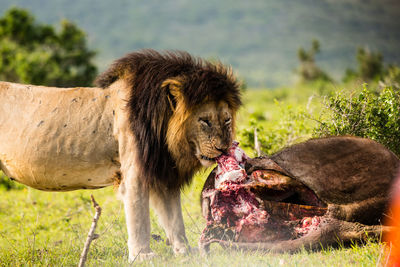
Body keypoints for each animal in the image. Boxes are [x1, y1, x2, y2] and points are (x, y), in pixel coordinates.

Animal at [0, 50, 241, 262]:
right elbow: (139, 217)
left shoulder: (163, 173)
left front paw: (185, 252)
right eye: (205, 121)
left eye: (227, 119)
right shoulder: (135, 173)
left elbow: (174, 219)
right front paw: (142, 255)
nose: (223, 149)